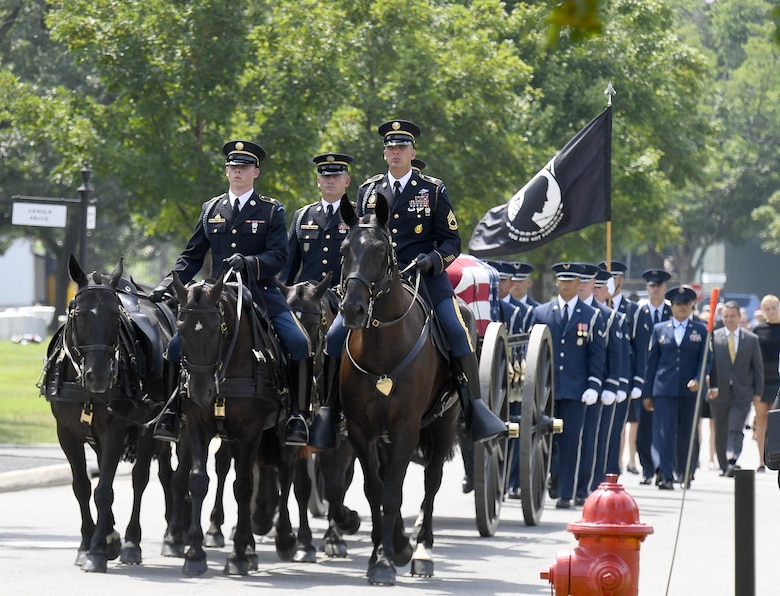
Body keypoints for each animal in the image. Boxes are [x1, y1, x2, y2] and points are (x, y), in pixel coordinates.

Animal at [39, 256, 178, 572]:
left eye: (116, 316)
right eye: (78, 314)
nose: (100, 377)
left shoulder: (115, 430)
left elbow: (104, 490)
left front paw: (98, 551)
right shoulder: (67, 433)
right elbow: (83, 486)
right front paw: (88, 544)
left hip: (150, 427)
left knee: (143, 478)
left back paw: (134, 542)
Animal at [166, 272, 294, 576]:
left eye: (217, 329)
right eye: (181, 328)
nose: (201, 392)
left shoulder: (251, 431)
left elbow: (244, 486)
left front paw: (237, 556)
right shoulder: (197, 426)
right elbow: (198, 480)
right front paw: (194, 553)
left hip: (283, 431)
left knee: (286, 472)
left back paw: (283, 539)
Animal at [278, 278, 362, 560]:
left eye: (314, 324)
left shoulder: (344, 442)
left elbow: (336, 486)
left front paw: (339, 530)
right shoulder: (297, 441)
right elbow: (301, 486)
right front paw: (304, 542)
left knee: (344, 480)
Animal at [338, 197, 460, 588]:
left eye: (380, 251)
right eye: (344, 249)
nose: (353, 309)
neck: (383, 346)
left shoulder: (407, 426)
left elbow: (393, 492)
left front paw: (385, 561)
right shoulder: (362, 430)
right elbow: (376, 490)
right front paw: (382, 552)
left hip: (443, 424)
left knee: (432, 482)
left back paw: (422, 551)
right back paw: (403, 544)